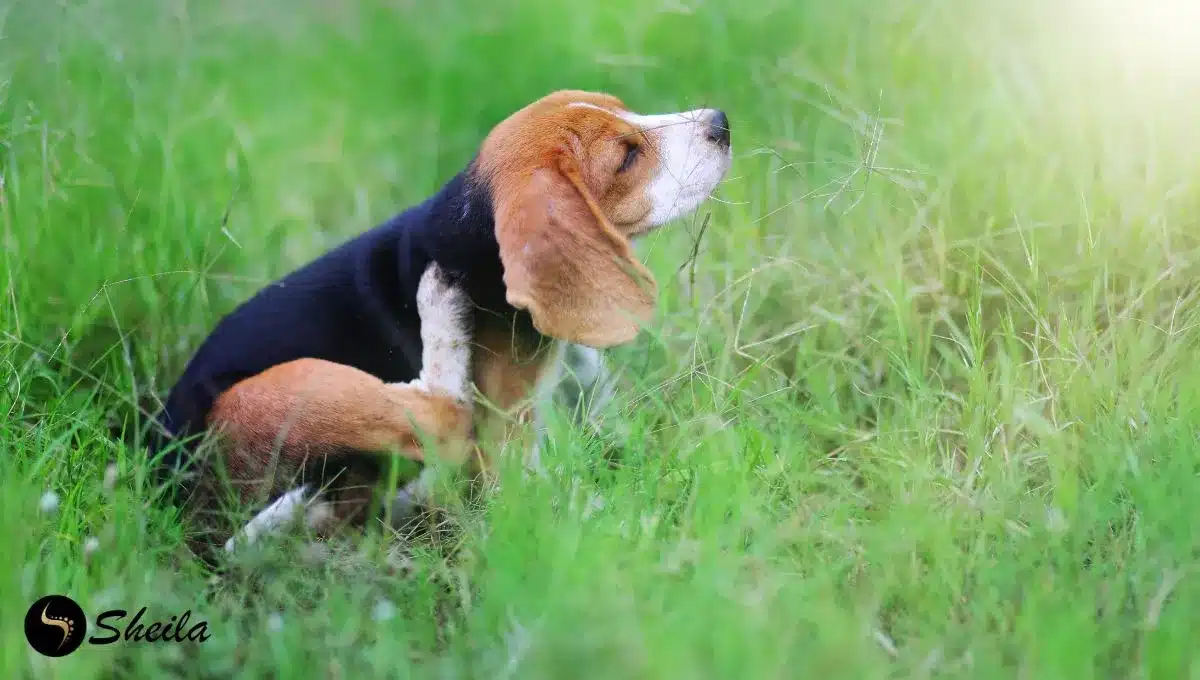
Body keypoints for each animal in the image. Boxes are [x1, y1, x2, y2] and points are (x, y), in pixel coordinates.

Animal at [150, 87, 729, 551]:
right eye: (627, 157)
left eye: (625, 109)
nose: (720, 122)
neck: (468, 229)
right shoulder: (504, 435)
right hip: (277, 392)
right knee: (446, 419)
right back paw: (439, 316)